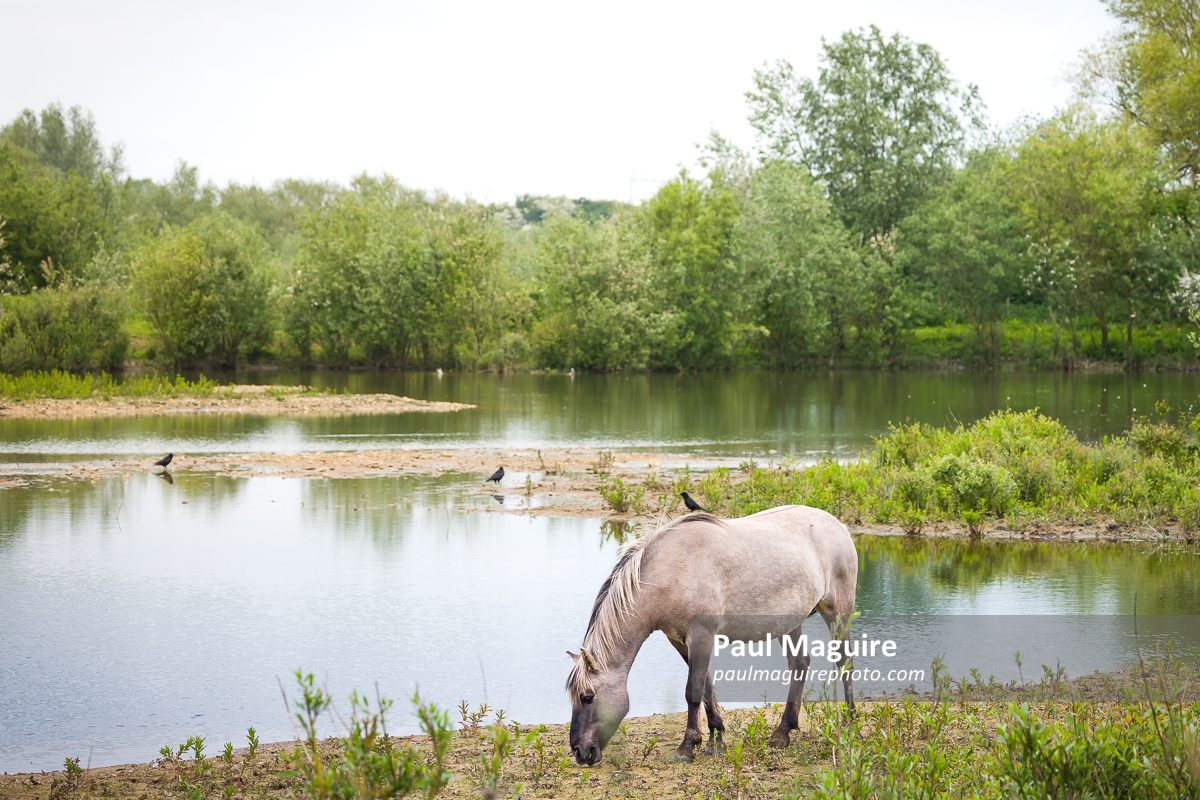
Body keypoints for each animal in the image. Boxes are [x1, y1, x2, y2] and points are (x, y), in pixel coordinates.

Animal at [566, 506, 858, 765]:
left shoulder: (701, 636)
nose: (581, 752)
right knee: (799, 664)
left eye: (587, 697)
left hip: (837, 613)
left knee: (845, 661)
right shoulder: (680, 641)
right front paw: (715, 737)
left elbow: (693, 689)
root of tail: (838, 526)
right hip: (789, 624)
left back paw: (850, 721)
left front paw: (687, 747)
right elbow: (705, 685)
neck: (670, 568)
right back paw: (782, 732)